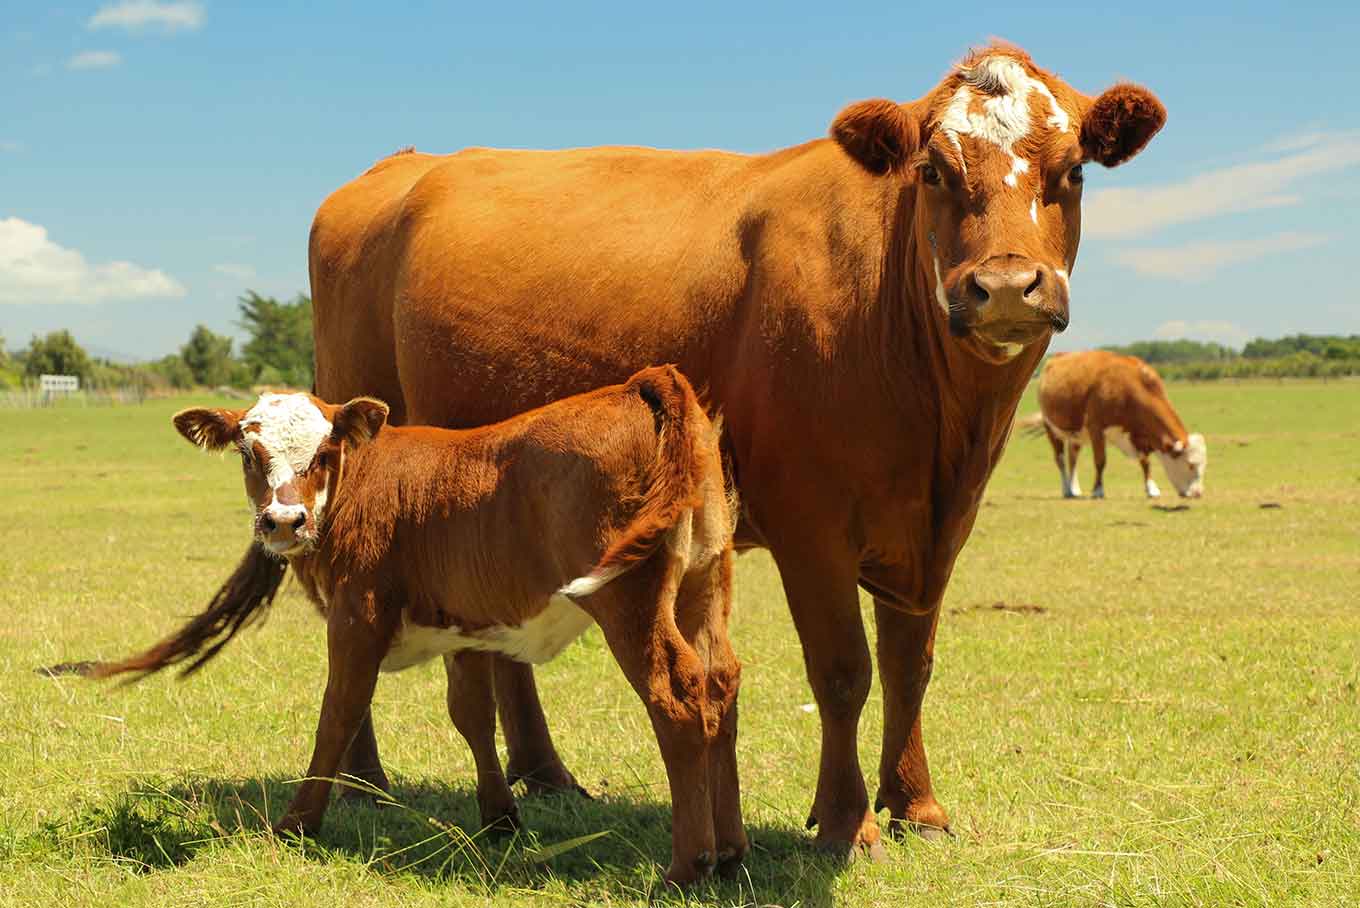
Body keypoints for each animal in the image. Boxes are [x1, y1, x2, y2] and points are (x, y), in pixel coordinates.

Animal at [159, 367, 742, 884]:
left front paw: (296, 823)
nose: (283, 522)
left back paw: (687, 866)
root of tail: (640, 384)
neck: (362, 483)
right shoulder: (465, 626)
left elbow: (340, 712)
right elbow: (473, 714)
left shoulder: (358, 616)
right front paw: (500, 818)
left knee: (676, 697)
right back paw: (730, 852)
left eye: (323, 454)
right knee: (720, 685)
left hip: (628, 600)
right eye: (248, 454)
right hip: (704, 583)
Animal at [1033, 350, 1207, 499]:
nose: (1198, 493)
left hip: (1076, 433)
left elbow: (1145, 462)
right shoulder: (1096, 428)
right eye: (1190, 465)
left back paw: (1074, 489)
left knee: (1073, 458)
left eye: (1203, 465)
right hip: (1050, 428)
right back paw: (1066, 490)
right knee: (1060, 459)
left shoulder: (1139, 434)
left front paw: (1151, 488)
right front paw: (1098, 490)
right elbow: (1100, 461)